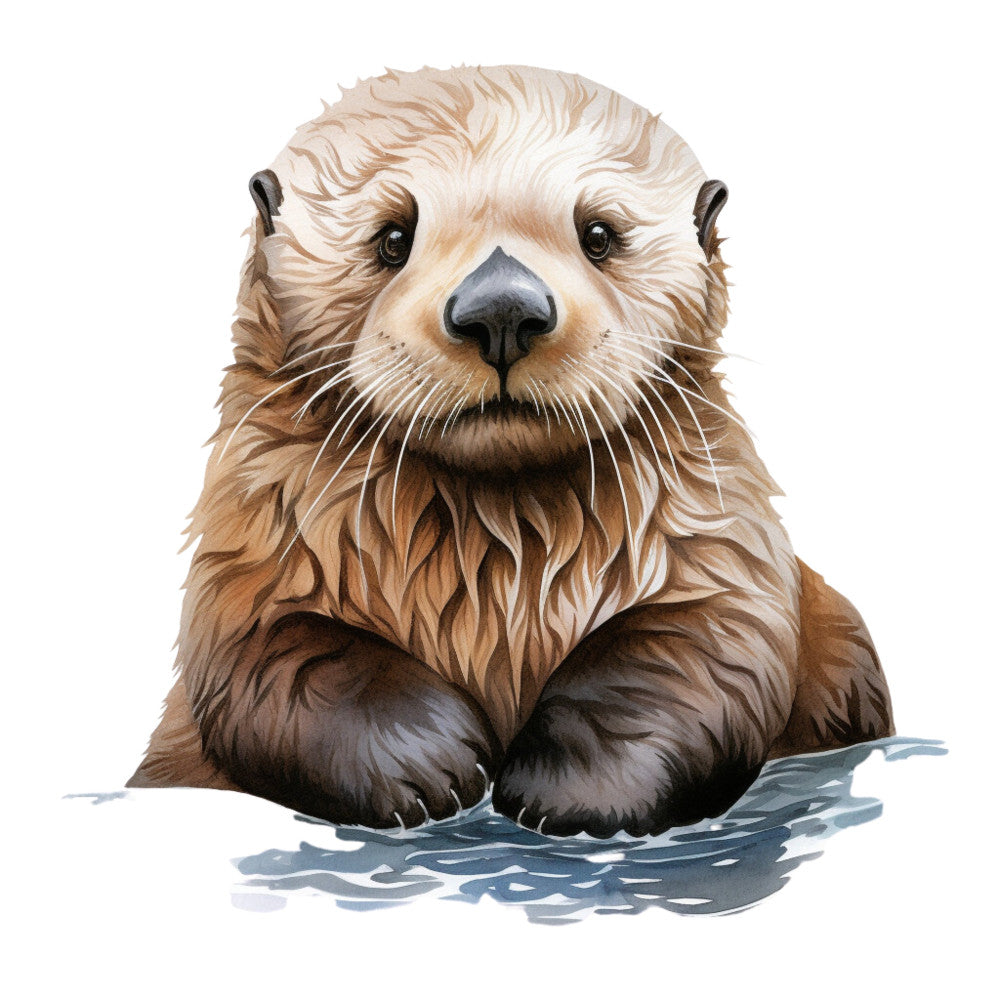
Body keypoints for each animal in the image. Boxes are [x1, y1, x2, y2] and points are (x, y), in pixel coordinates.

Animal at [128, 65, 893, 837]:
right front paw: (427, 765)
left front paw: (576, 791)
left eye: (598, 234)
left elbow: (702, 647)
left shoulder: (718, 538)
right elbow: (275, 652)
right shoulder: (258, 544)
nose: (501, 309)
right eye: (392, 238)